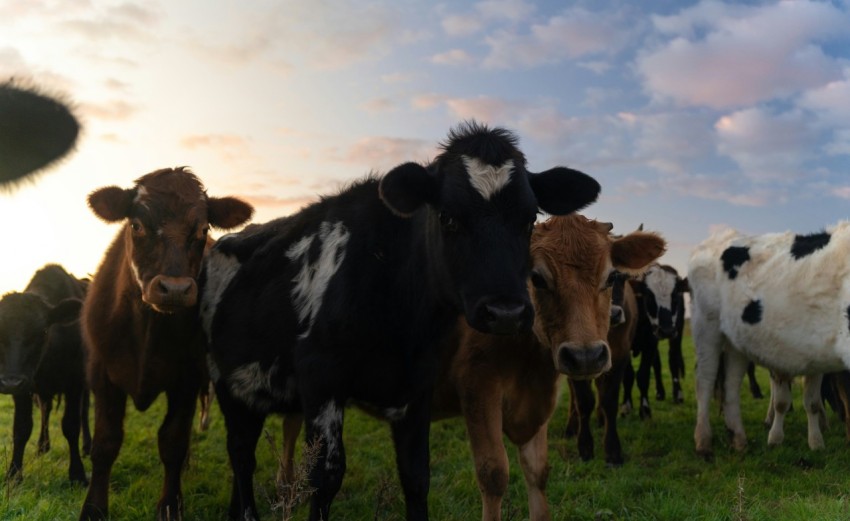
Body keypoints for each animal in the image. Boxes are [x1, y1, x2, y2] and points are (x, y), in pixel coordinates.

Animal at [0, 264, 90, 484]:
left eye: (42, 332)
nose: (10, 382)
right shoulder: (23, 388)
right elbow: (21, 428)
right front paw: (14, 475)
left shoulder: (74, 383)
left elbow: (71, 425)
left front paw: (77, 474)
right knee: (46, 409)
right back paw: (42, 446)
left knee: (84, 411)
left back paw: (87, 446)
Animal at [78, 168, 252, 520]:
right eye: (136, 225)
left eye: (203, 228)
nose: (174, 289)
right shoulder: (102, 375)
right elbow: (105, 443)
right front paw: (93, 508)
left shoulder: (188, 378)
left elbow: (173, 441)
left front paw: (171, 504)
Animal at [200, 122, 600, 520]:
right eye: (448, 217)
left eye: (530, 219)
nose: (506, 313)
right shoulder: (320, 378)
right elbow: (325, 478)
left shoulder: (418, 384)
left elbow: (416, 475)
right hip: (227, 382)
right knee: (241, 454)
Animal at [620, 264, 684, 418]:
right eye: (649, 296)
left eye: (675, 296)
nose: (666, 330)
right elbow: (628, 375)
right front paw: (626, 405)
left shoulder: (650, 341)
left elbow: (643, 375)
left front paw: (645, 409)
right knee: (657, 364)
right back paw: (660, 392)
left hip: (677, 334)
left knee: (673, 361)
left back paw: (678, 394)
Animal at [684, 225, 848, 458]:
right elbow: (783, 401)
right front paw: (777, 438)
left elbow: (812, 402)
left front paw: (816, 442)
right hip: (706, 324)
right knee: (705, 380)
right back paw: (704, 440)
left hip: (736, 339)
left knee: (731, 383)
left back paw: (738, 439)